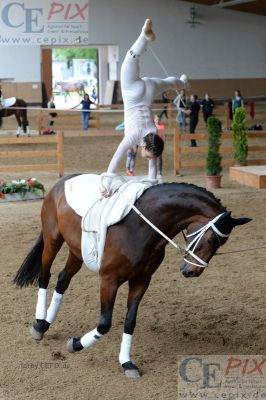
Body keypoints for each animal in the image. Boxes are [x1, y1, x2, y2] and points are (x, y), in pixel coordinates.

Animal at [14, 174, 251, 376]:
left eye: (221, 243)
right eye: (211, 239)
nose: (191, 271)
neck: (140, 228)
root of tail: (63, 181)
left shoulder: (141, 280)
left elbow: (129, 322)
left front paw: (126, 363)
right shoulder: (109, 280)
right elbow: (105, 323)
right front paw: (76, 344)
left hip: (77, 251)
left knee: (63, 279)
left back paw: (46, 323)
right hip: (52, 240)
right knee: (45, 276)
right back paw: (39, 325)